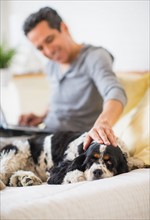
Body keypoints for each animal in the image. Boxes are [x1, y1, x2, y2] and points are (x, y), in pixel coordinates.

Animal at [0, 131, 145, 190]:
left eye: (109, 162)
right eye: (90, 160)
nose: (97, 172)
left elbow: (130, 160)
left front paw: (137, 162)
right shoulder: (59, 169)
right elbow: (68, 174)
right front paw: (76, 176)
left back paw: (25, 179)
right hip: (16, 151)